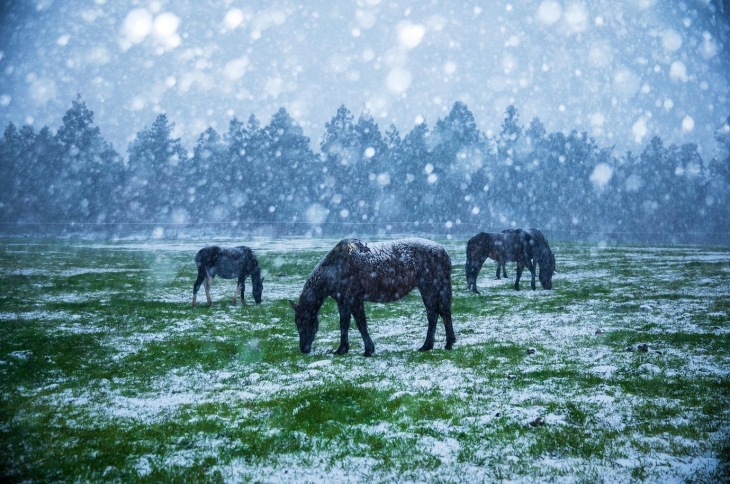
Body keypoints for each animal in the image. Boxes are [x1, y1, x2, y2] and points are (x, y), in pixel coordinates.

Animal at [288, 237, 452, 356]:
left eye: (305, 322)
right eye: (296, 323)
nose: (304, 349)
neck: (335, 267)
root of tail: (442, 250)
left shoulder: (354, 300)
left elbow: (360, 324)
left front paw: (367, 350)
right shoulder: (343, 302)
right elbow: (345, 324)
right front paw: (342, 349)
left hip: (428, 289)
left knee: (433, 315)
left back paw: (428, 346)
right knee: (443, 313)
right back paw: (446, 343)